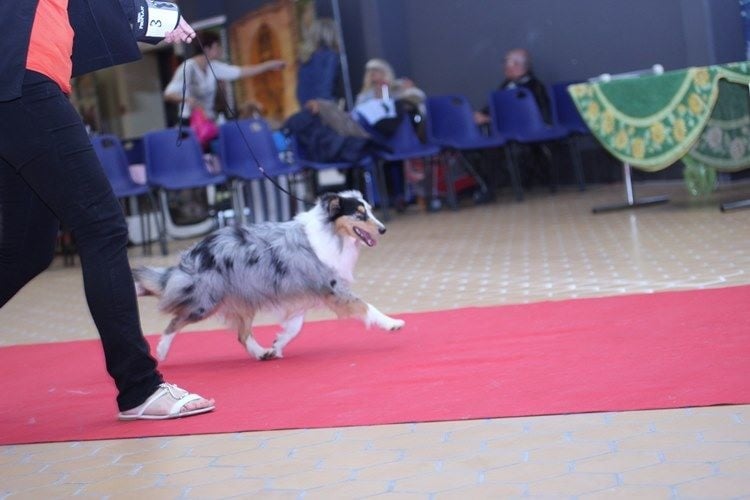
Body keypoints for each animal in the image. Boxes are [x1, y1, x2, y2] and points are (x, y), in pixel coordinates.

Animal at [135, 189, 406, 362]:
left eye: (370, 211)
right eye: (360, 214)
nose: (383, 229)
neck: (331, 233)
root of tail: (195, 252)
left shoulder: (302, 292)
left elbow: (295, 327)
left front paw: (278, 344)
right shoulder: (332, 288)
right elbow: (365, 306)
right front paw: (392, 323)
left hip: (241, 298)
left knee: (242, 334)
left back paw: (261, 352)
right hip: (205, 301)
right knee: (175, 320)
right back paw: (162, 350)